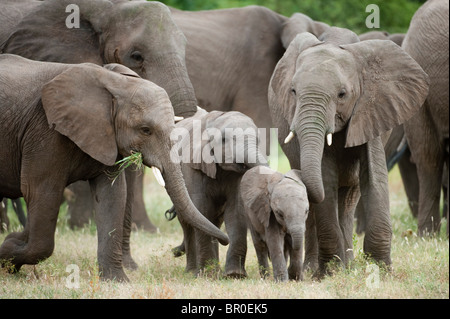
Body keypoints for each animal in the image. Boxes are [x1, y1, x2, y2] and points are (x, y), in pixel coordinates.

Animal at [0, 55, 227, 282]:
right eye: (146, 130)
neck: (115, 82)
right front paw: (7, 252)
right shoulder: (45, 133)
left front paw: (117, 281)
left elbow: (113, 194)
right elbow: (41, 192)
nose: (225, 240)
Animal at [169, 107, 268, 278]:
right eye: (223, 139)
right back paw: (193, 271)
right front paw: (208, 275)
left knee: (214, 221)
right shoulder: (192, 166)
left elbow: (235, 210)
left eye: (258, 140)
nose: (174, 252)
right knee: (188, 222)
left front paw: (234, 275)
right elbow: (202, 208)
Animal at [268, 26, 430, 278]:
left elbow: (374, 176)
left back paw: (350, 264)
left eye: (342, 94)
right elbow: (326, 179)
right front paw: (330, 272)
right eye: (293, 91)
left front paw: (381, 270)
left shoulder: (372, 109)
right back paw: (316, 268)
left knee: (349, 198)